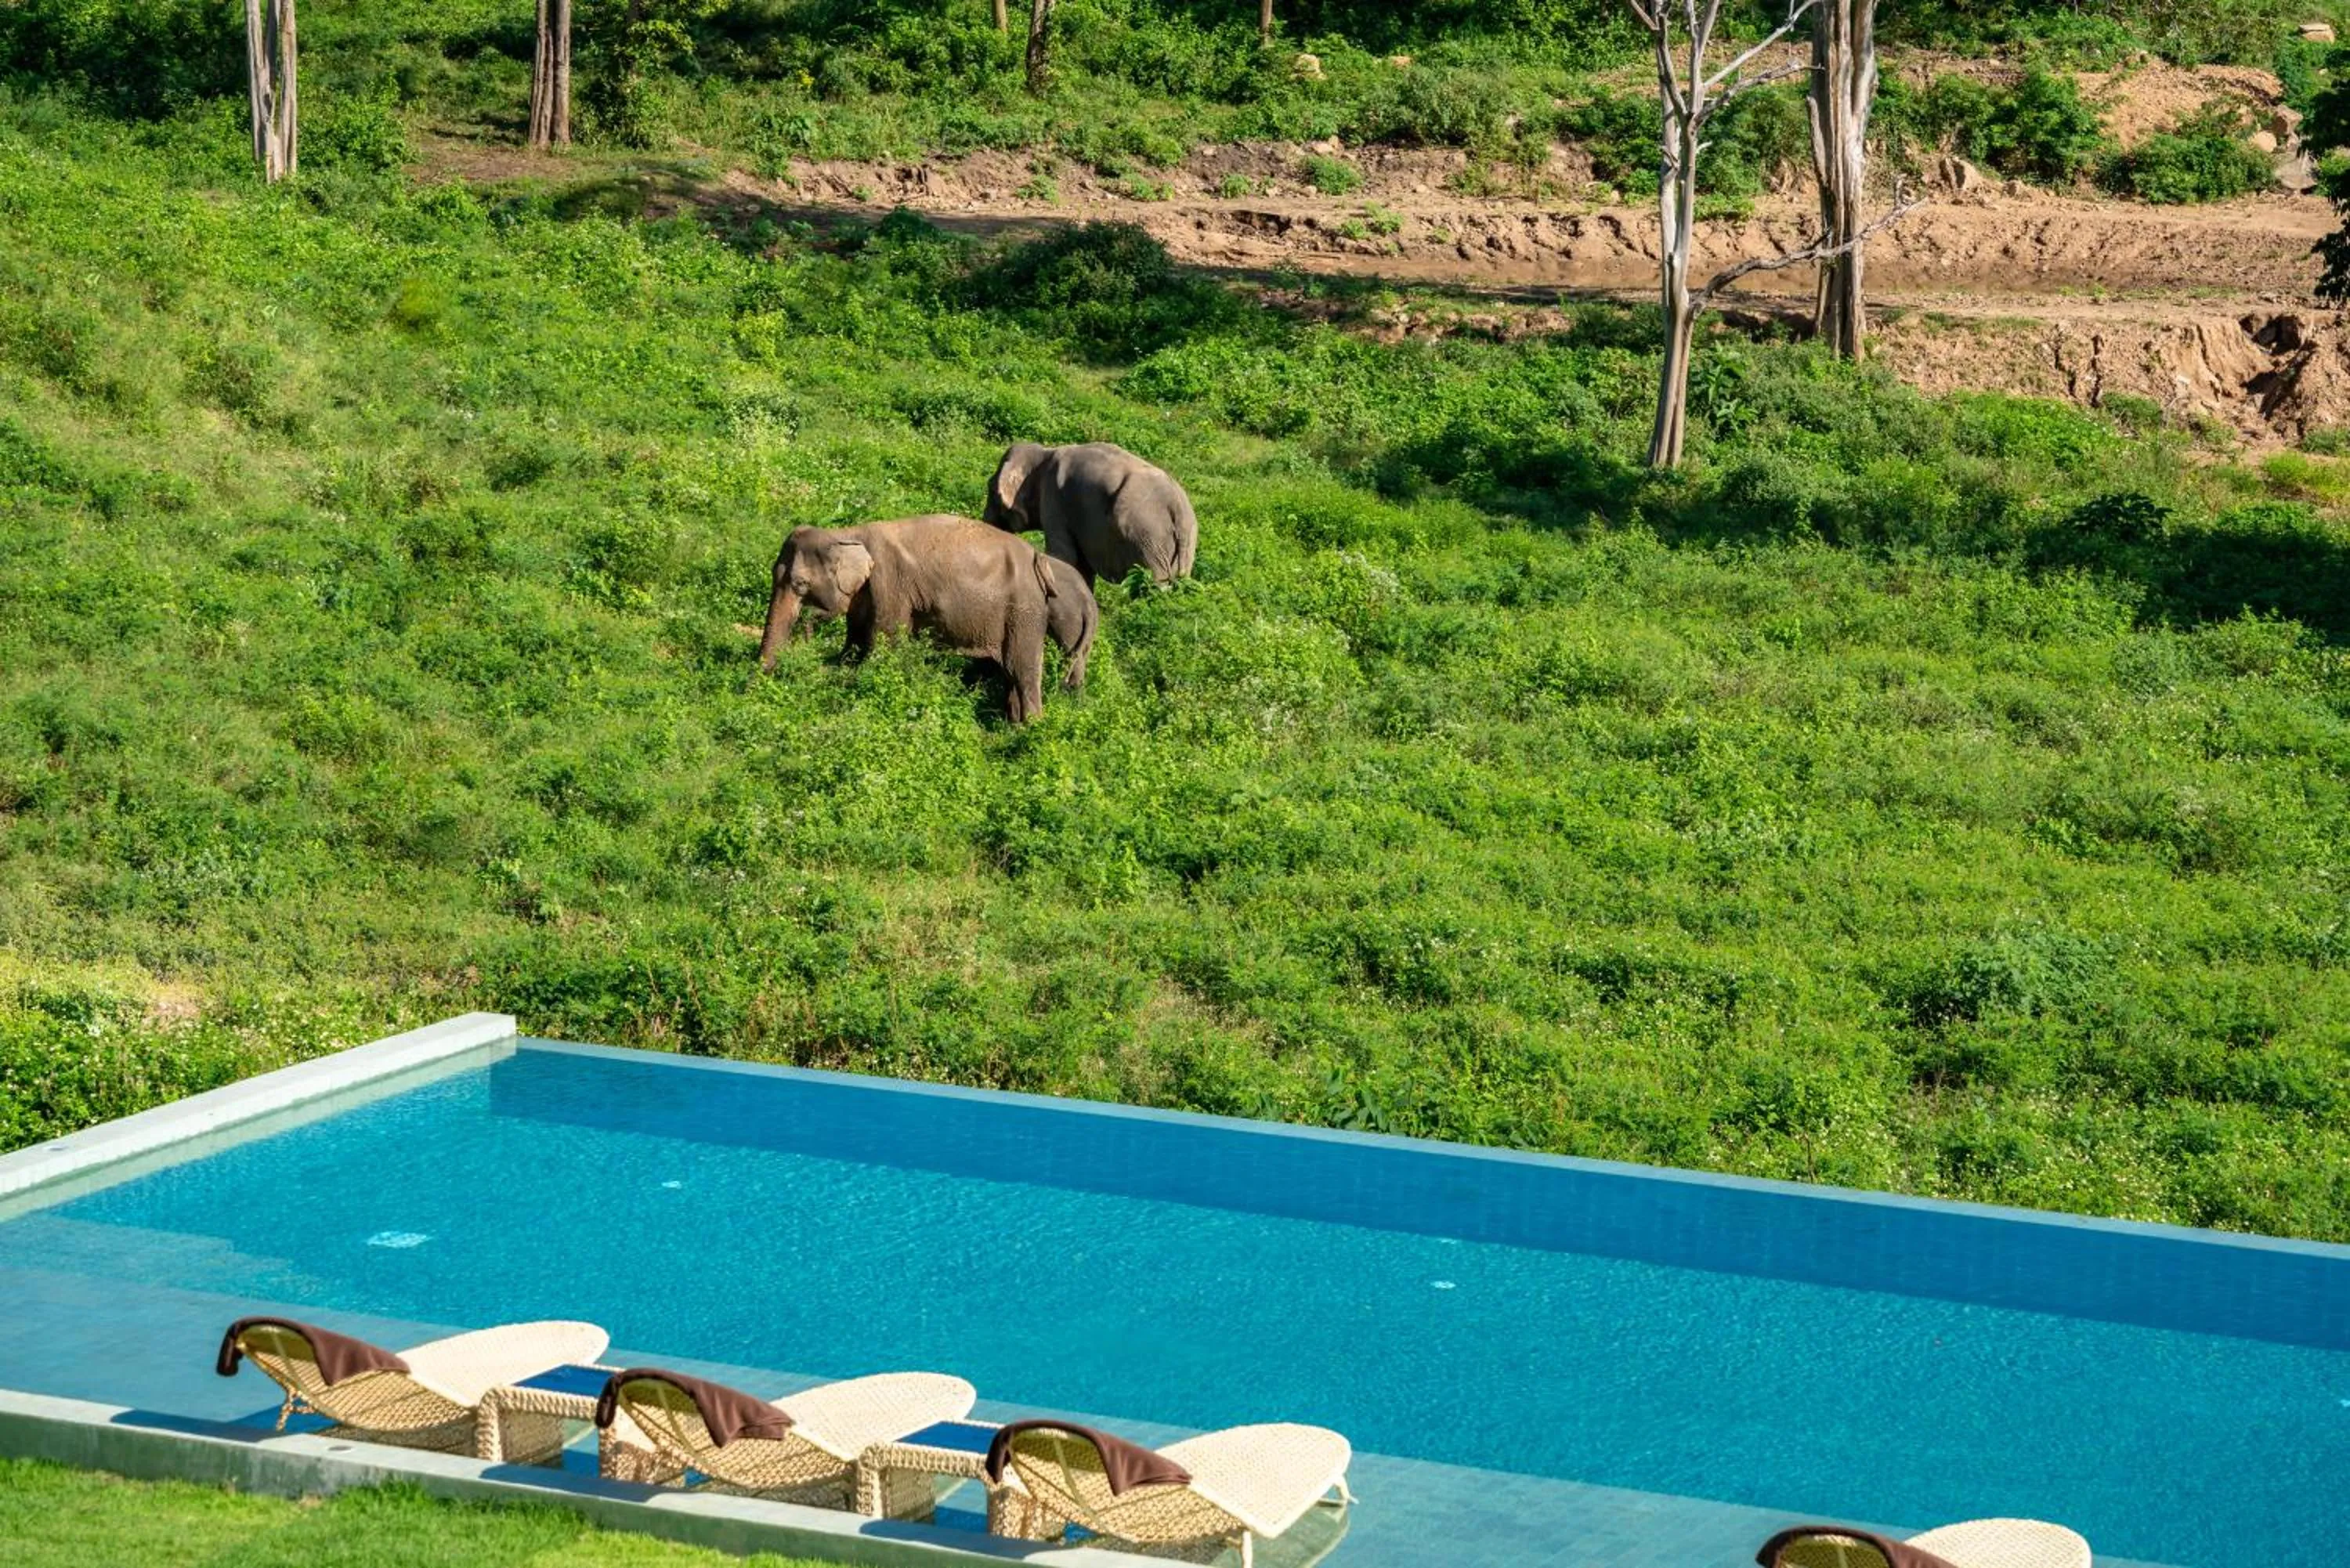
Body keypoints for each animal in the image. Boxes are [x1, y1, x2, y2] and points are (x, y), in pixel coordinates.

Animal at [757, 514, 1095, 723]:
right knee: (1009, 673)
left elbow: (884, 649)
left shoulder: (889, 585)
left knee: (1021, 669)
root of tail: (1037, 561)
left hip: (1023, 611)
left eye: (800, 584)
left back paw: (1031, 729)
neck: (847, 534)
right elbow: (854, 645)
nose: (765, 676)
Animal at [983, 442, 1198, 588]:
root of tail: (1177, 508)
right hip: (1182, 545)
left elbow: (1065, 555)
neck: (1047, 452)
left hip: (1148, 539)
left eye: (991, 489)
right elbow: (1083, 566)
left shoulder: (1055, 500)